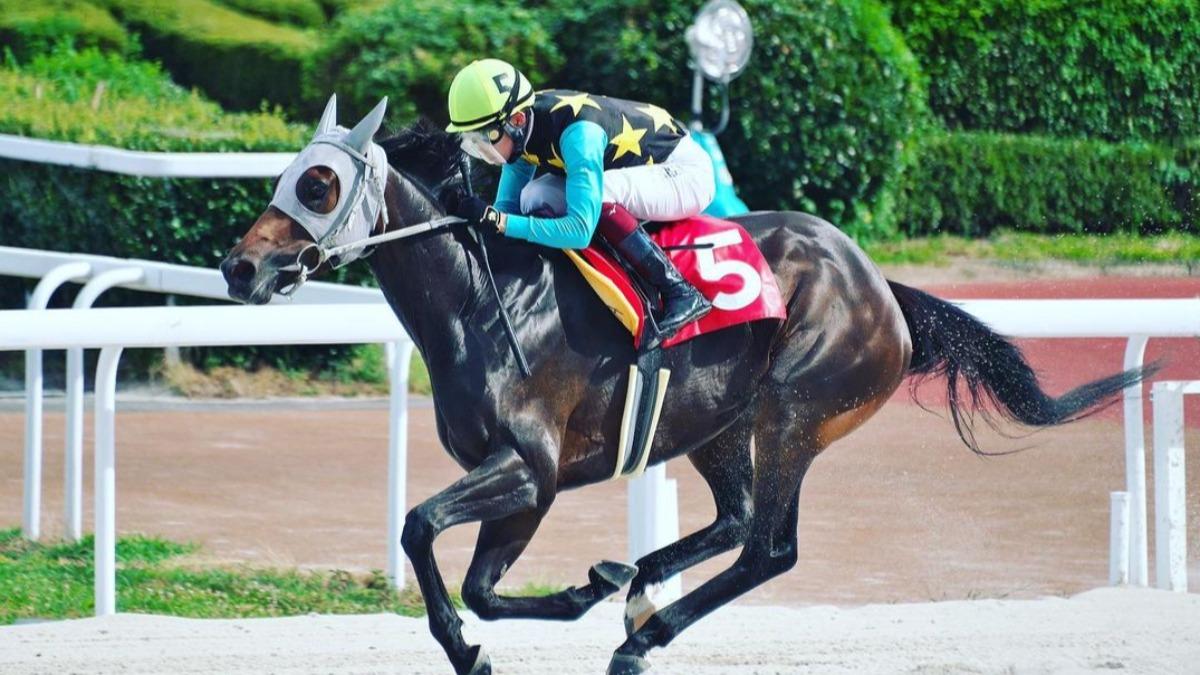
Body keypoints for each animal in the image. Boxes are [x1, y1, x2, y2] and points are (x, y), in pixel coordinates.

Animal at [220, 102, 1149, 675]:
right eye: (285, 175)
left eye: (317, 184)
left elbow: (422, 529)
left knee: (769, 546)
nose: (239, 267)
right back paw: (635, 583)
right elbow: (477, 579)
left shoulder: (530, 469)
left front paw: (473, 643)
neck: (483, 297)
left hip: (794, 413)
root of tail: (881, 287)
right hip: (717, 422)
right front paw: (579, 591)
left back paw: (645, 629)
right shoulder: (525, 482)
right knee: (735, 521)